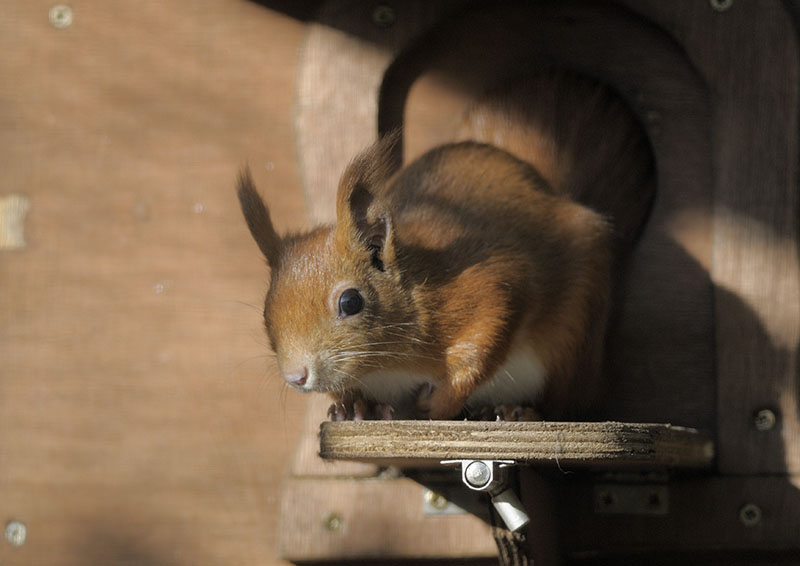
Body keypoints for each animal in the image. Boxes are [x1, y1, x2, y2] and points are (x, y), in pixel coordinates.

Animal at [238, 71, 654, 421]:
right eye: (266, 311)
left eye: (351, 302)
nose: (296, 376)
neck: (385, 365)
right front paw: (355, 406)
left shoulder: (489, 286)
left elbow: (486, 340)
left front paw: (441, 402)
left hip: (575, 339)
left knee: (568, 403)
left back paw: (520, 412)